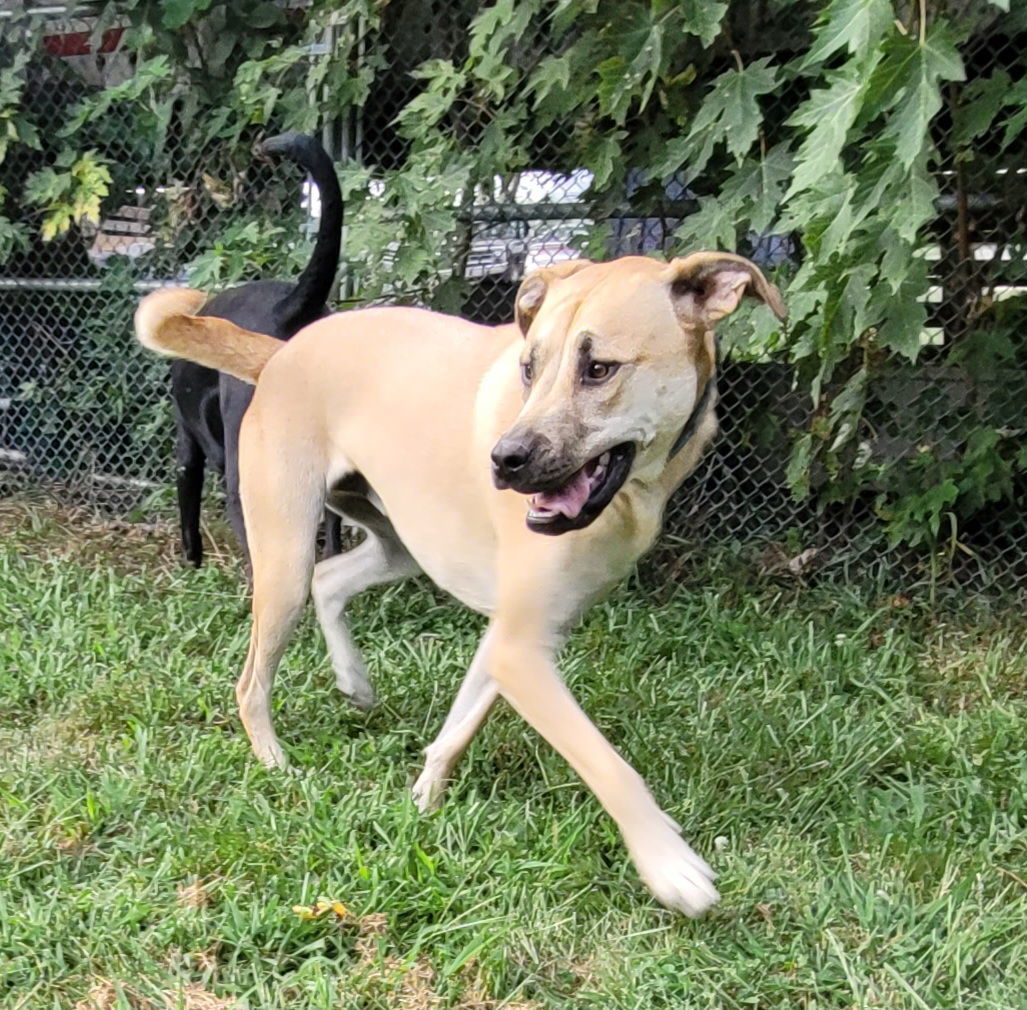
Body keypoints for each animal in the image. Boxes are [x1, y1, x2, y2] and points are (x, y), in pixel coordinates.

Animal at [136, 252, 784, 916]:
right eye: (529, 368)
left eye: (599, 369)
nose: (505, 460)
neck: (634, 494)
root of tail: (281, 352)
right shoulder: (521, 651)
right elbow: (607, 764)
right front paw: (667, 862)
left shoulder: (515, 638)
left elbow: (459, 727)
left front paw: (424, 798)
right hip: (284, 556)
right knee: (253, 679)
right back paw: (274, 760)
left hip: (398, 542)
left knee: (330, 579)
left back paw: (353, 680)